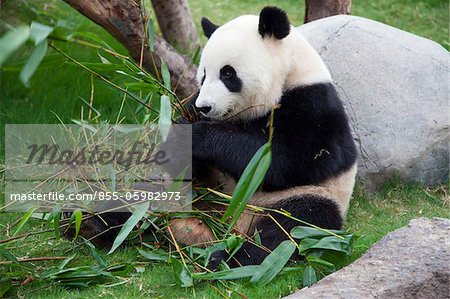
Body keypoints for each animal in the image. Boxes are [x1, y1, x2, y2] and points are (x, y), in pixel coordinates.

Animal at [167, 5, 356, 266]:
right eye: (203, 75)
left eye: (228, 73)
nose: (205, 107)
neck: (290, 72)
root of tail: (227, 225)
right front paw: (179, 134)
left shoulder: (315, 108)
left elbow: (282, 161)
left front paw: (199, 136)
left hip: (307, 197)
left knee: (293, 226)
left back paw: (227, 258)